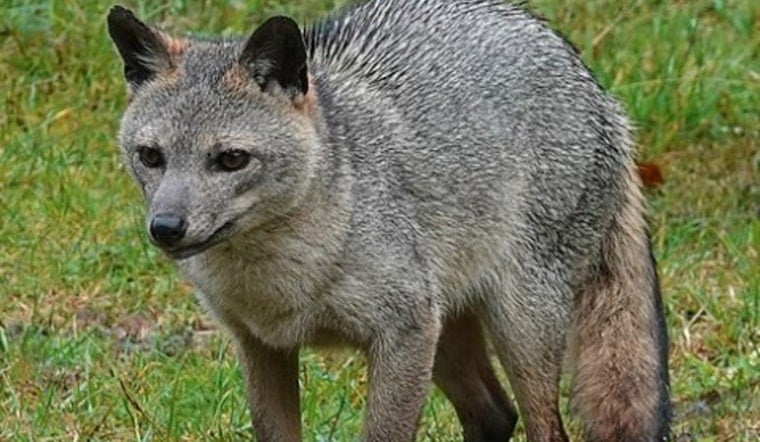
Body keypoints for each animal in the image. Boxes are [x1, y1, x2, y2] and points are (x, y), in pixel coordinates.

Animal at [107, 0, 670, 441]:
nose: (166, 228)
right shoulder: (263, 347)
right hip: (448, 336)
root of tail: (601, 93)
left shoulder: (403, 334)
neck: (282, 283)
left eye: (230, 160)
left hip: (516, 329)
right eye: (151, 156)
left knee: (543, 429)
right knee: (494, 415)